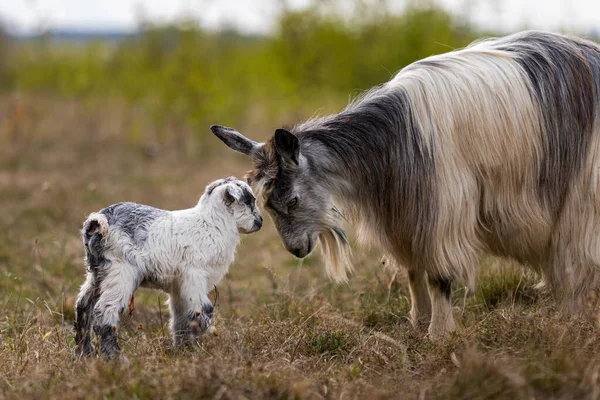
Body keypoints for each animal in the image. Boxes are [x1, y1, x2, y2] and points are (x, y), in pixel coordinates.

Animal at [74, 178, 262, 360]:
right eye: (249, 201)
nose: (260, 222)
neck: (211, 224)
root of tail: (98, 221)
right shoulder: (194, 277)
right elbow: (202, 309)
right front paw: (209, 343)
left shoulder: (179, 287)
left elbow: (181, 318)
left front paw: (185, 349)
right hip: (120, 273)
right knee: (105, 312)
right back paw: (116, 358)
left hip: (98, 273)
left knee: (83, 306)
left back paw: (84, 353)